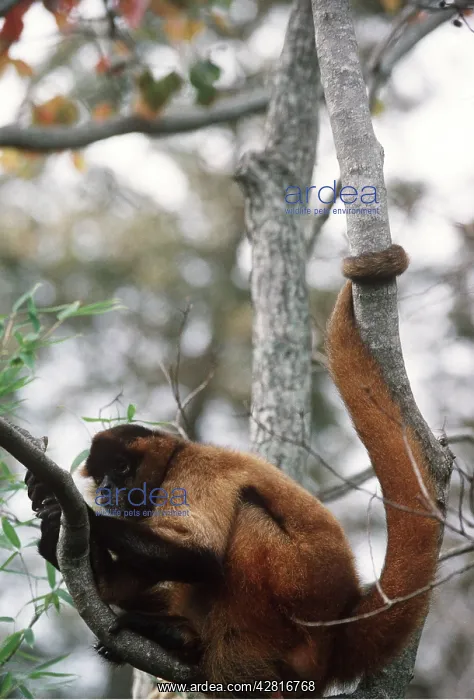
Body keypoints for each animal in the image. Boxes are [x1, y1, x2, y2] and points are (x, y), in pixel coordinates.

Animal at [25, 243, 441, 697]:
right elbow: (114, 586)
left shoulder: (195, 471)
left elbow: (201, 555)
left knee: (247, 518)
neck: (178, 456)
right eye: (101, 478)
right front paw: (49, 514)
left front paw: (81, 515)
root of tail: (337, 633)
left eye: (121, 468)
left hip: (292, 602)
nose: (106, 491)